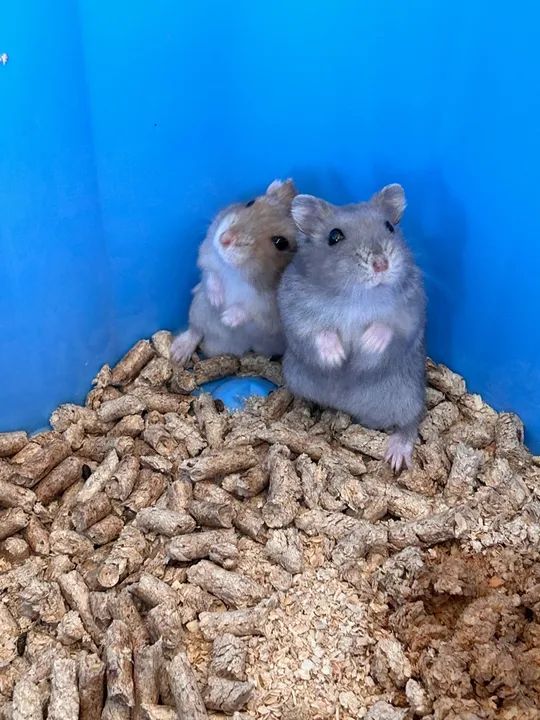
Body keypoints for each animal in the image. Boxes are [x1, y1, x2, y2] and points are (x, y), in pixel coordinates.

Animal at [171, 179, 298, 364]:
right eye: (250, 202)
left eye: (280, 242)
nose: (224, 239)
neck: (239, 272)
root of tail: (214, 346)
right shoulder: (208, 254)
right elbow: (211, 274)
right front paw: (217, 301)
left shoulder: (271, 312)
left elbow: (251, 310)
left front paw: (226, 318)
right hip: (198, 309)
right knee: (196, 330)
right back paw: (177, 354)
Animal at [278, 184, 426, 471]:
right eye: (334, 236)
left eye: (389, 227)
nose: (381, 264)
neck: (356, 297)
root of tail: (349, 408)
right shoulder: (294, 308)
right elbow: (316, 330)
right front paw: (338, 358)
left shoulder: (412, 309)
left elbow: (389, 327)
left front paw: (366, 346)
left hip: (409, 395)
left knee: (410, 423)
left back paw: (396, 458)